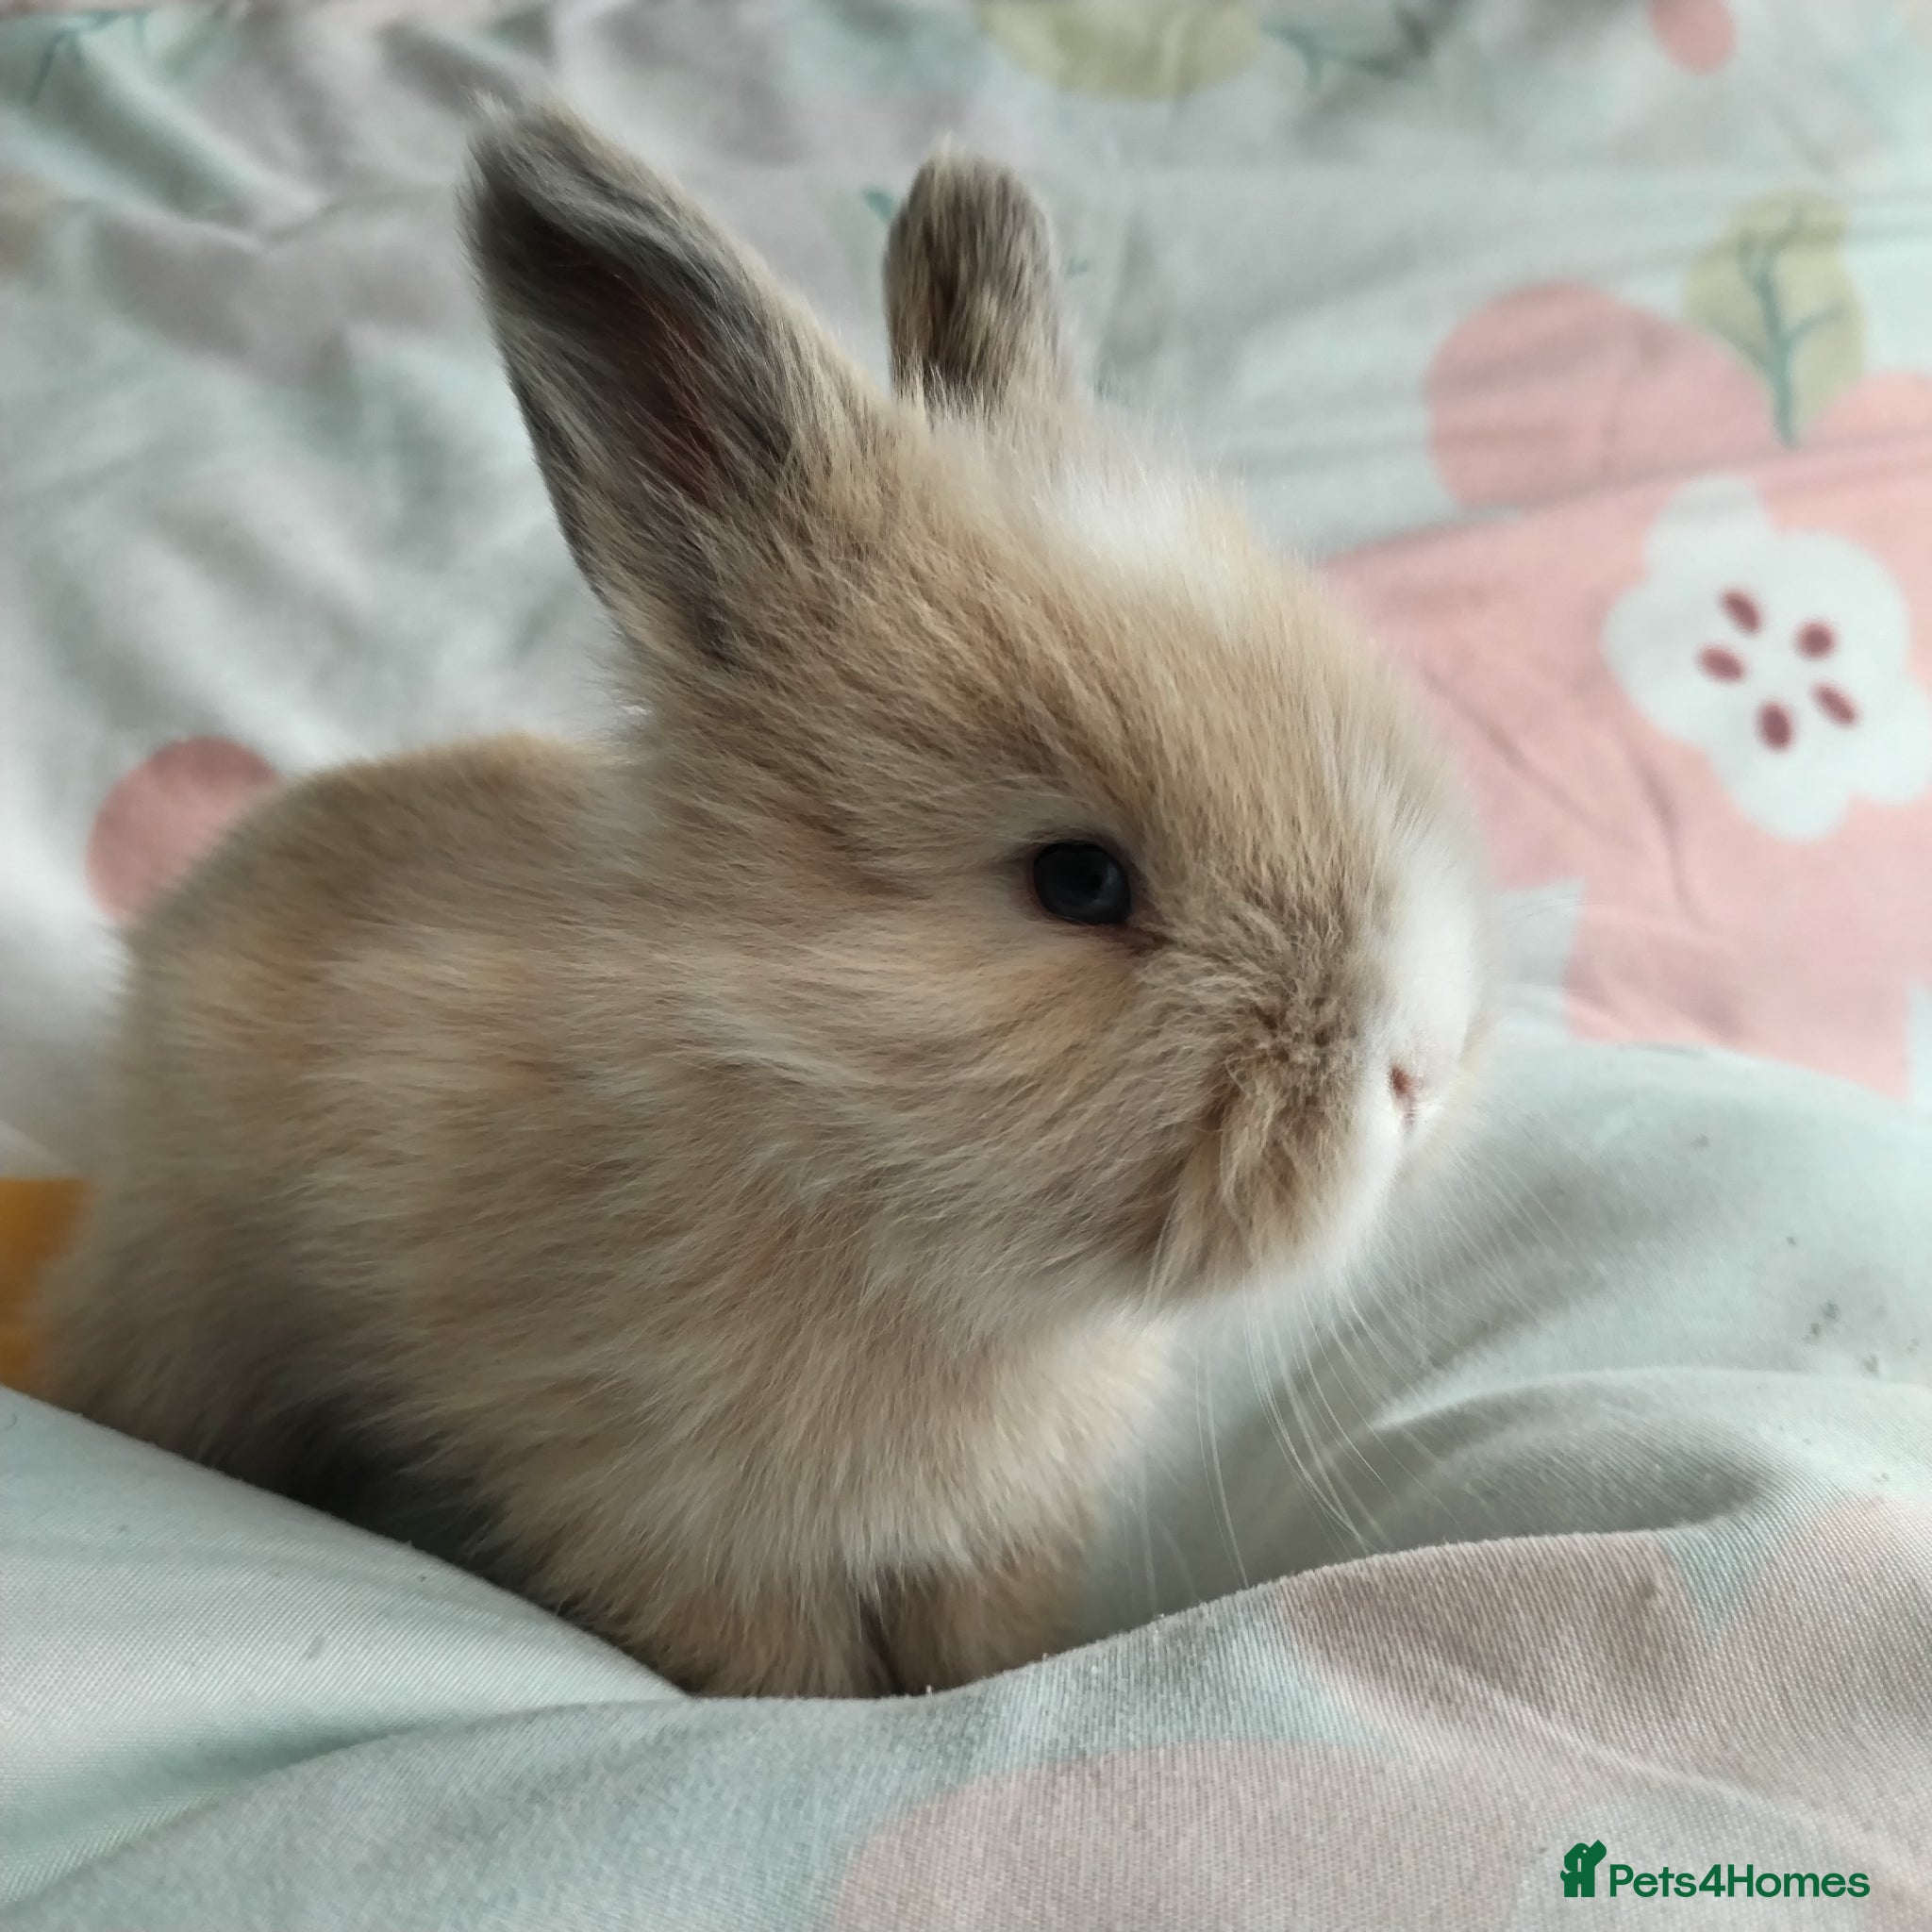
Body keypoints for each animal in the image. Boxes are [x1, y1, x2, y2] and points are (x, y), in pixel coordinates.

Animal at [37, 105, 1494, 1697]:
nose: (1418, 1073)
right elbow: (783, 1681)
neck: (793, 1100)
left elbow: (978, 1651)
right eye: (1080, 881)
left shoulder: (990, 1543)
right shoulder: (680, 1530)